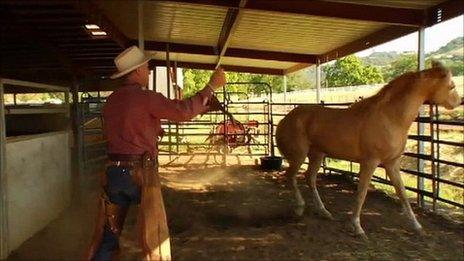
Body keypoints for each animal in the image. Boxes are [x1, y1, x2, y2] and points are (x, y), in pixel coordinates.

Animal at [276, 60, 460, 238]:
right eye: (451, 86)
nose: (459, 101)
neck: (390, 117)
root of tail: (285, 119)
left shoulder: (392, 163)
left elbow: (402, 193)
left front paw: (417, 227)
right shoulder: (370, 162)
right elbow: (362, 193)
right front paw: (357, 227)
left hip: (317, 154)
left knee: (310, 179)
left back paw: (323, 211)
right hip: (299, 156)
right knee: (290, 176)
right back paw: (299, 208)